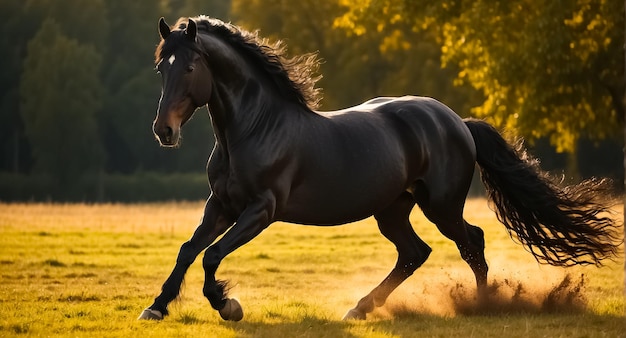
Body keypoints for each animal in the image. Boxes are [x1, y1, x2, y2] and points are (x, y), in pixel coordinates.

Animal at [138, 16, 620, 322]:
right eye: (161, 66)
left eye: (192, 65)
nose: (163, 130)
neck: (255, 129)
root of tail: (457, 122)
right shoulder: (220, 204)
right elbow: (188, 250)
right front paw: (156, 307)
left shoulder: (261, 209)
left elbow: (212, 255)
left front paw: (227, 305)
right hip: (392, 210)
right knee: (414, 253)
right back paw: (360, 307)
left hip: (441, 205)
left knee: (472, 242)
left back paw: (481, 307)